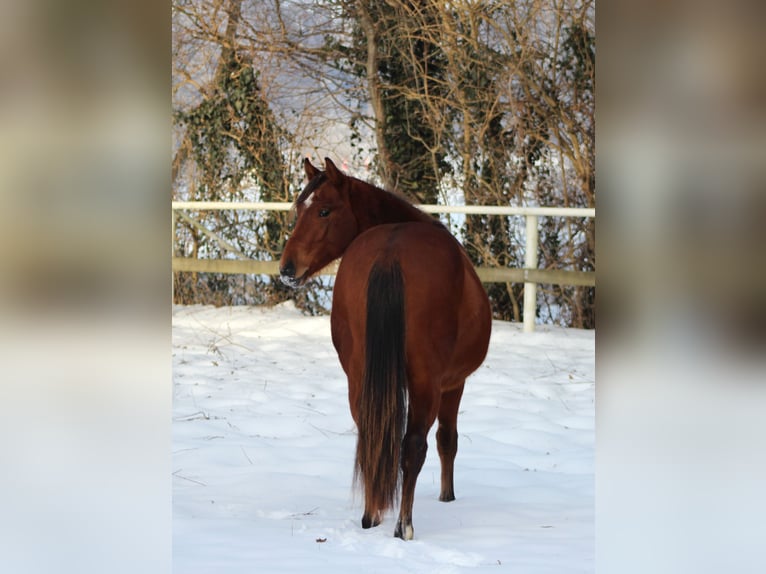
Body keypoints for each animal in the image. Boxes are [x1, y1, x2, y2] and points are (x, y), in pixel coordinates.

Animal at [279, 157, 491, 540]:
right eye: (301, 209)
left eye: (323, 210)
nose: (287, 269)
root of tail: (391, 253)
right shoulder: (454, 383)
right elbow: (447, 439)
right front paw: (447, 496)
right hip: (425, 383)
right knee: (414, 445)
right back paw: (403, 525)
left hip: (359, 375)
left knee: (370, 438)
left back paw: (371, 516)